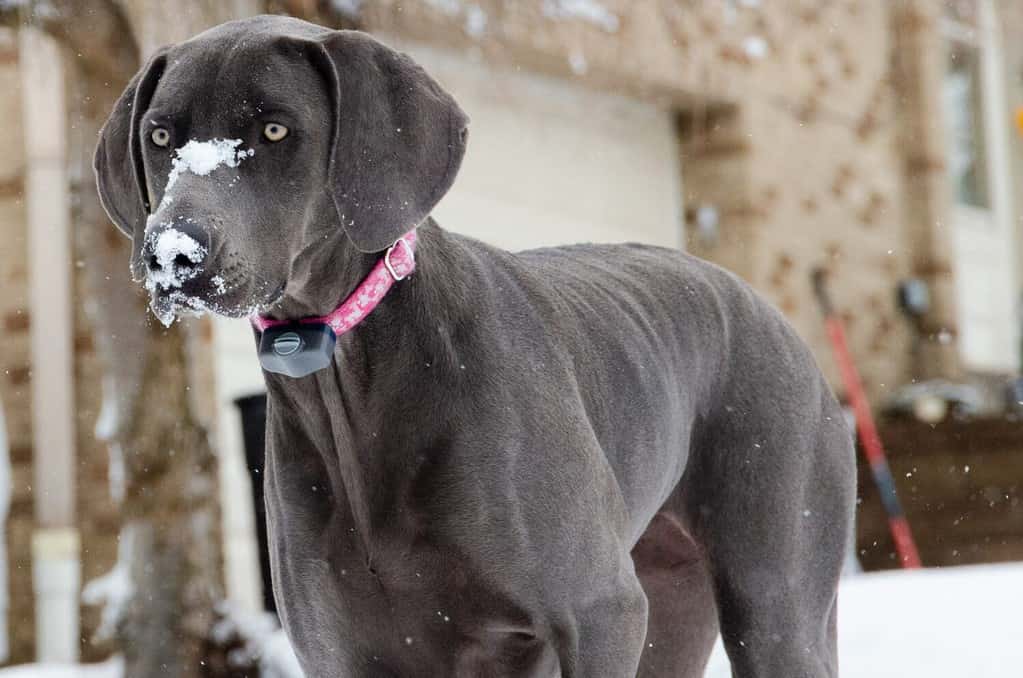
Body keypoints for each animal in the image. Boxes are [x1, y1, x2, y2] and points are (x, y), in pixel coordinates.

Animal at [96, 15, 855, 678]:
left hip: (772, 604)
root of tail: (771, 311)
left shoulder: (597, 613)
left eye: (275, 129)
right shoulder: (345, 650)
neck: (354, 384)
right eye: (161, 135)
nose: (173, 255)